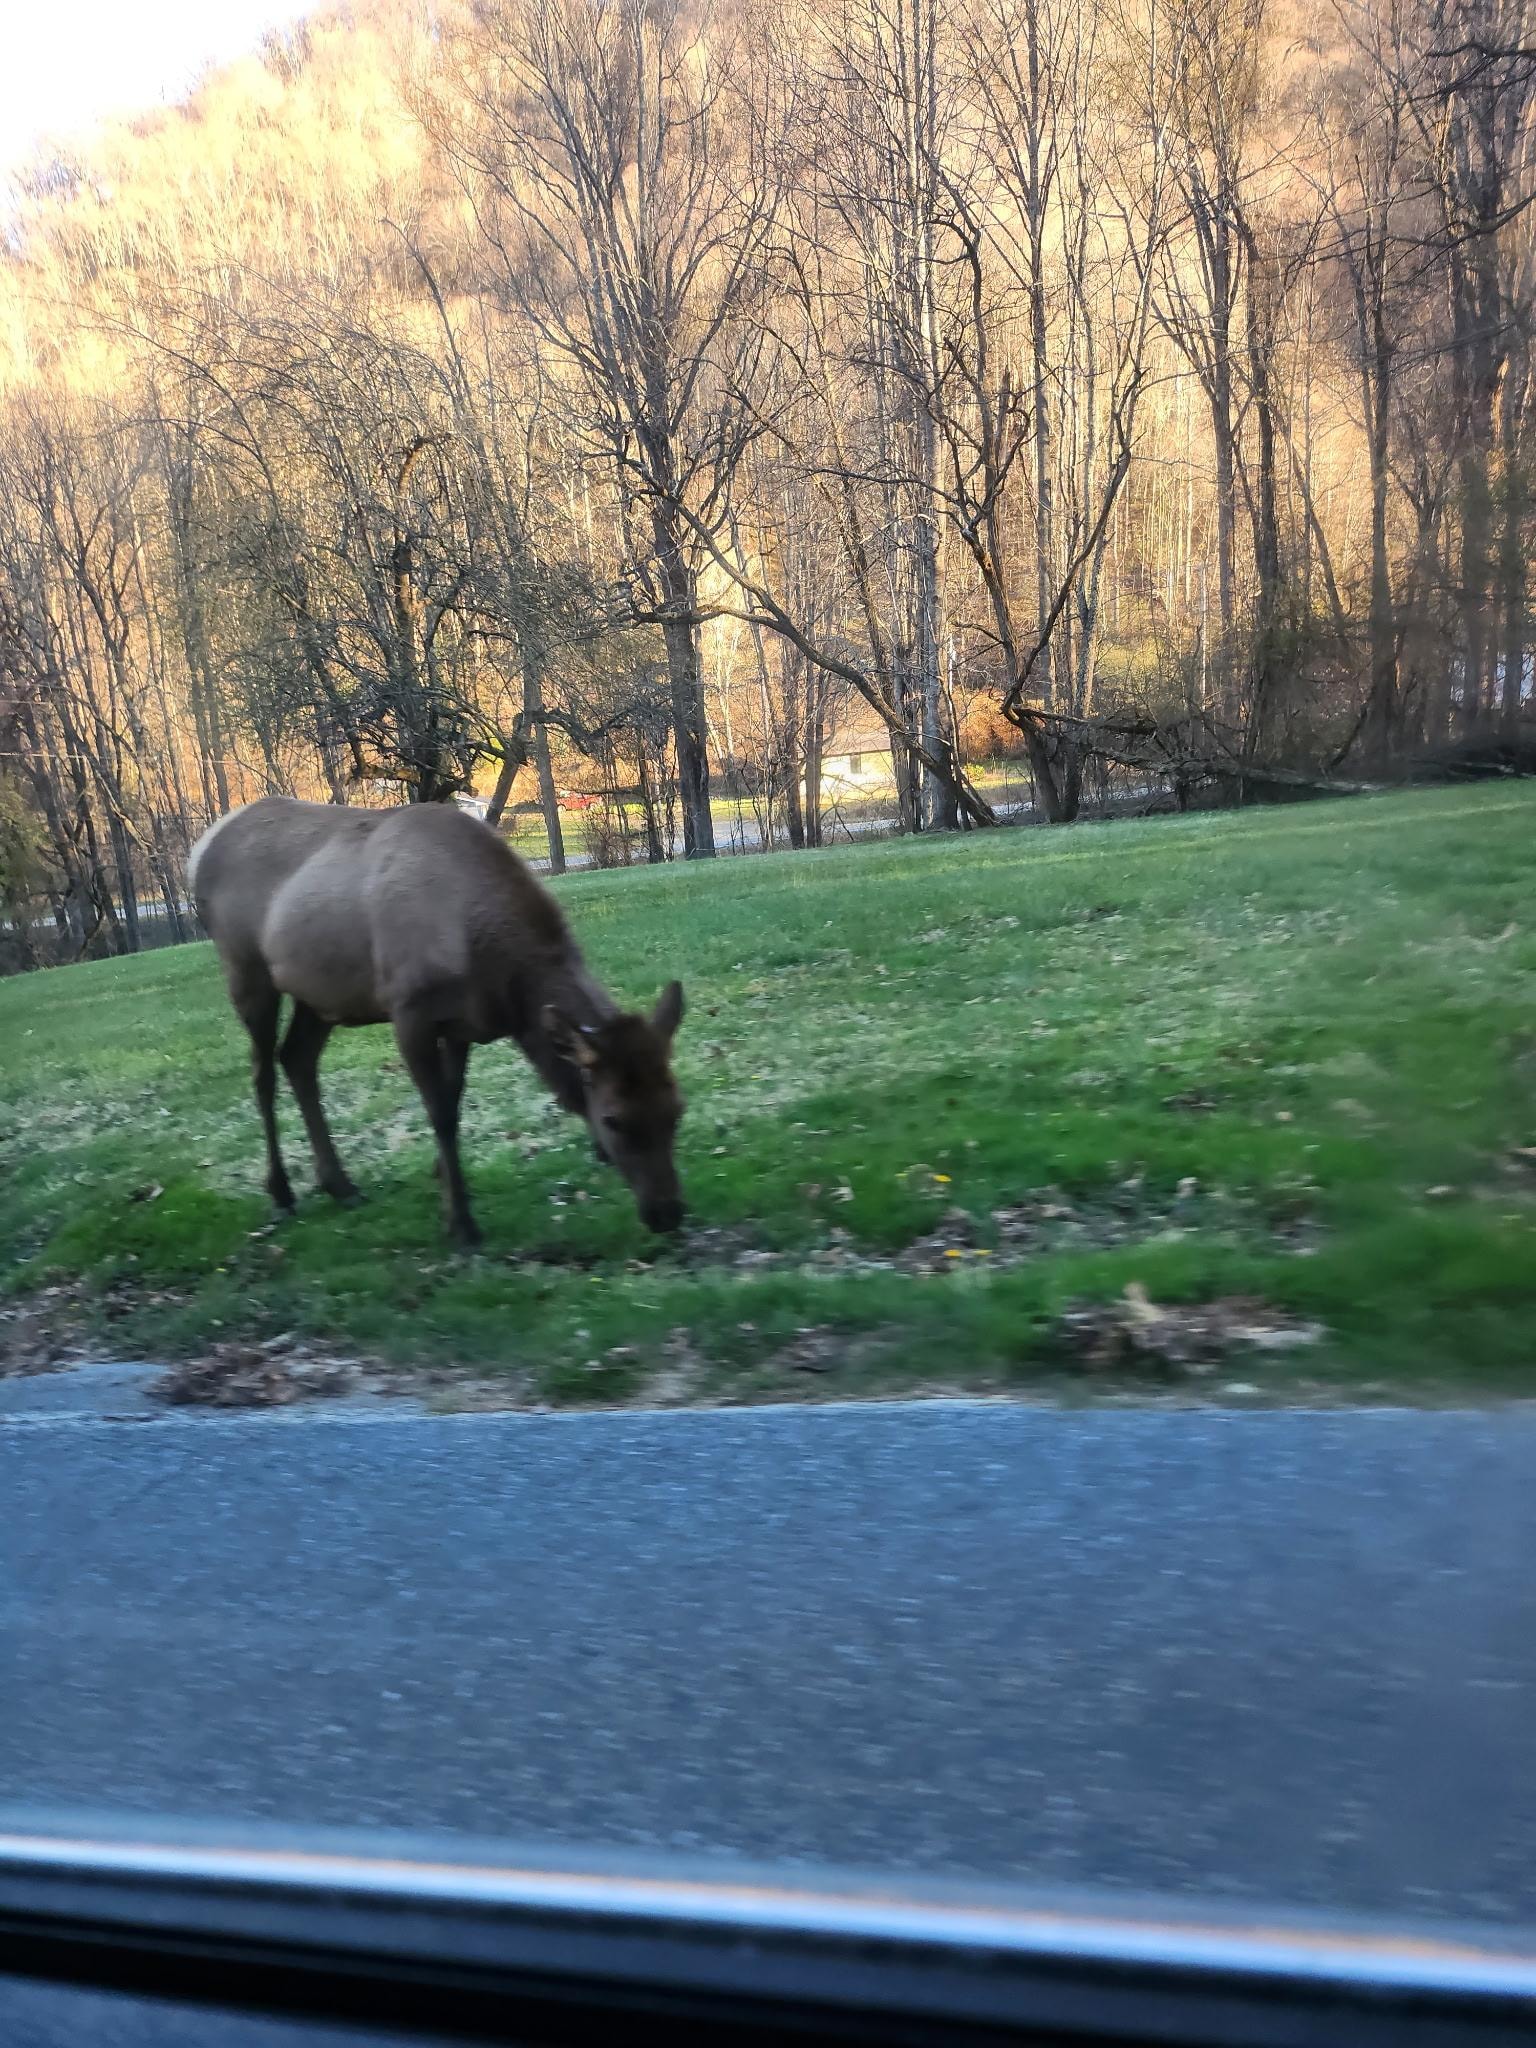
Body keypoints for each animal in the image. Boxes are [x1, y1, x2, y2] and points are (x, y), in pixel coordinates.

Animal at [189, 797, 686, 1248]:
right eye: (614, 1119)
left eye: (676, 1108)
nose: (668, 1213)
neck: (505, 987)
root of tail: (200, 848)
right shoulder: (410, 1012)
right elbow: (441, 1114)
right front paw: (461, 1223)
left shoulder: (463, 1025)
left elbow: (453, 1103)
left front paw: (445, 1185)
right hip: (246, 969)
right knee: (262, 1073)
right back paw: (281, 1192)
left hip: (318, 992)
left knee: (297, 1059)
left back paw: (340, 1185)